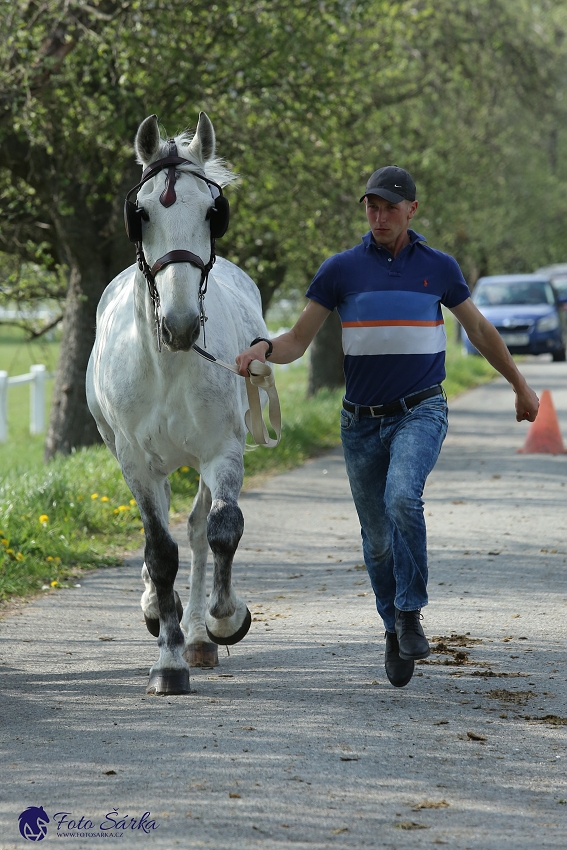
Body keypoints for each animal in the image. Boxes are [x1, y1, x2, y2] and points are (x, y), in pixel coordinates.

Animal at [85, 111, 270, 696]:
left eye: (213, 212)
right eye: (140, 213)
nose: (183, 324)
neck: (168, 364)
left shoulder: (222, 451)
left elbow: (221, 530)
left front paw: (222, 621)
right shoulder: (134, 462)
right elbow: (158, 550)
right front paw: (167, 662)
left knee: (195, 527)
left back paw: (197, 635)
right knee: (163, 528)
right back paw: (156, 610)